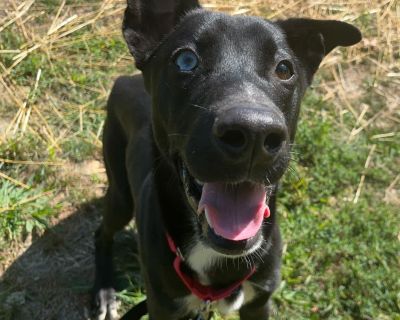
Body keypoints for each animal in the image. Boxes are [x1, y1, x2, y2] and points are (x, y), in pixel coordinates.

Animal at [92, 1, 360, 318]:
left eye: (284, 68)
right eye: (186, 60)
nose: (254, 133)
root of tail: (125, 80)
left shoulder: (259, 302)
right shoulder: (164, 306)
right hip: (121, 194)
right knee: (102, 232)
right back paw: (104, 290)